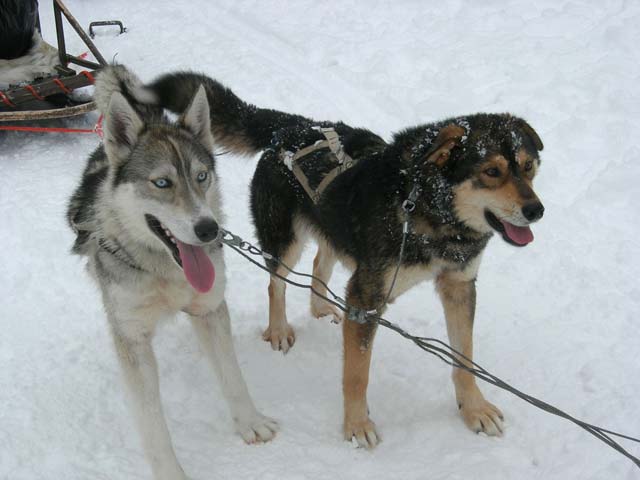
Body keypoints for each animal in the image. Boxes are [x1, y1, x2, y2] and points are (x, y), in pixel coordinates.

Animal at [66, 66, 276, 480]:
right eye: (162, 183)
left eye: (202, 176)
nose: (209, 229)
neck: (165, 271)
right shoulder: (132, 338)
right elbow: (152, 423)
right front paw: (169, 471)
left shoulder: (210, 310)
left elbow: (233, 376)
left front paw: (250, 421)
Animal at [141, 71, 544, 450]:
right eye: (491, 172)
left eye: (528, 167)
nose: (536, 210)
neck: (426, 209)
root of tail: (291, 126)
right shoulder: (367, 299)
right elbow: (356, 374)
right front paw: (356, 425)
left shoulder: (459, 286)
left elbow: (465, 358)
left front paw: (473, 408)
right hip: (286, 242)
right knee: (276, 283)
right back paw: (279, 330)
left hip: (332, 228)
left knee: (320, 263)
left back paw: (321, 308)